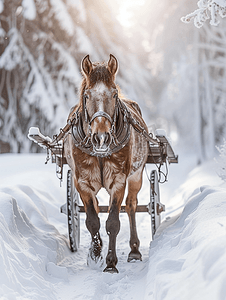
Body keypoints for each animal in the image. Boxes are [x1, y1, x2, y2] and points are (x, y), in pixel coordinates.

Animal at [63, 53, 148, 272]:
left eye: (114, 94)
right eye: (87, 95)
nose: (101, 137)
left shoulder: (118, 181)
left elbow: (113, 222)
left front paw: (111, 262)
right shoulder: (82, 183)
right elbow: (93, 220)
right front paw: (95, 253)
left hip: (136, 177)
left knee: (131, 206)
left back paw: (134, 250)